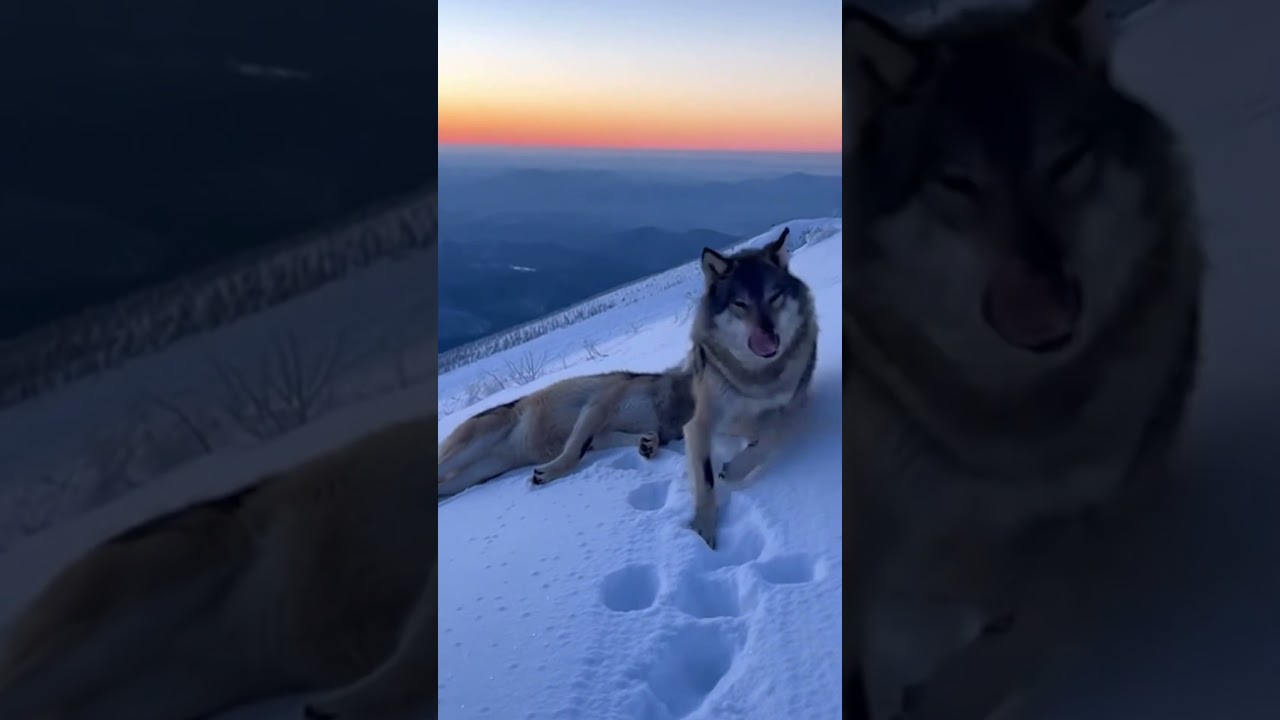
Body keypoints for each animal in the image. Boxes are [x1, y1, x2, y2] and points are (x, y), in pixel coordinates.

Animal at [437, 368, 695, 496]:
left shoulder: (601, 433)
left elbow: (649, 437)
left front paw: (648, 444)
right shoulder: (596, 407)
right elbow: (573, 453)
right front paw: (545, 474)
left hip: (475, 474)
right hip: (470, 448)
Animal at [682, 227, 819, 549]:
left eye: (775, 296)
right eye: (740, 303)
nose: (768, 334)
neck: (756, 378)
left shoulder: (789, 407)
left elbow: (771, 434)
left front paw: (735, 469)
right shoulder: (698, 423)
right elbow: (705, 479)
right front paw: (704, 532)